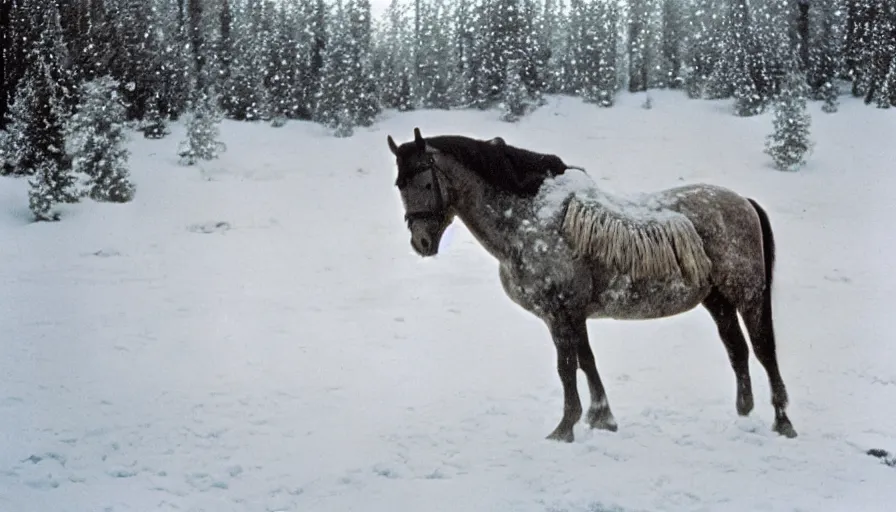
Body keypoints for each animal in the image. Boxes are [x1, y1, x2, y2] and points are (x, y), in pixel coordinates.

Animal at [384, 126, 800, 442]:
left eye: (425, 181)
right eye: (399, 185)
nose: (421, 242)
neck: (527, 219)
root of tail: (743, 202)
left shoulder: (560, 311)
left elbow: (567, 367)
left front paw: (565, 428)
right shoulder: (572, 313)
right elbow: (586, 362)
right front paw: (603, 418)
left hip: (748, 295)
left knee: (764, 350)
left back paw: (782, 420)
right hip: (717, 300)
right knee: (737, 351)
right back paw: (743, 415)